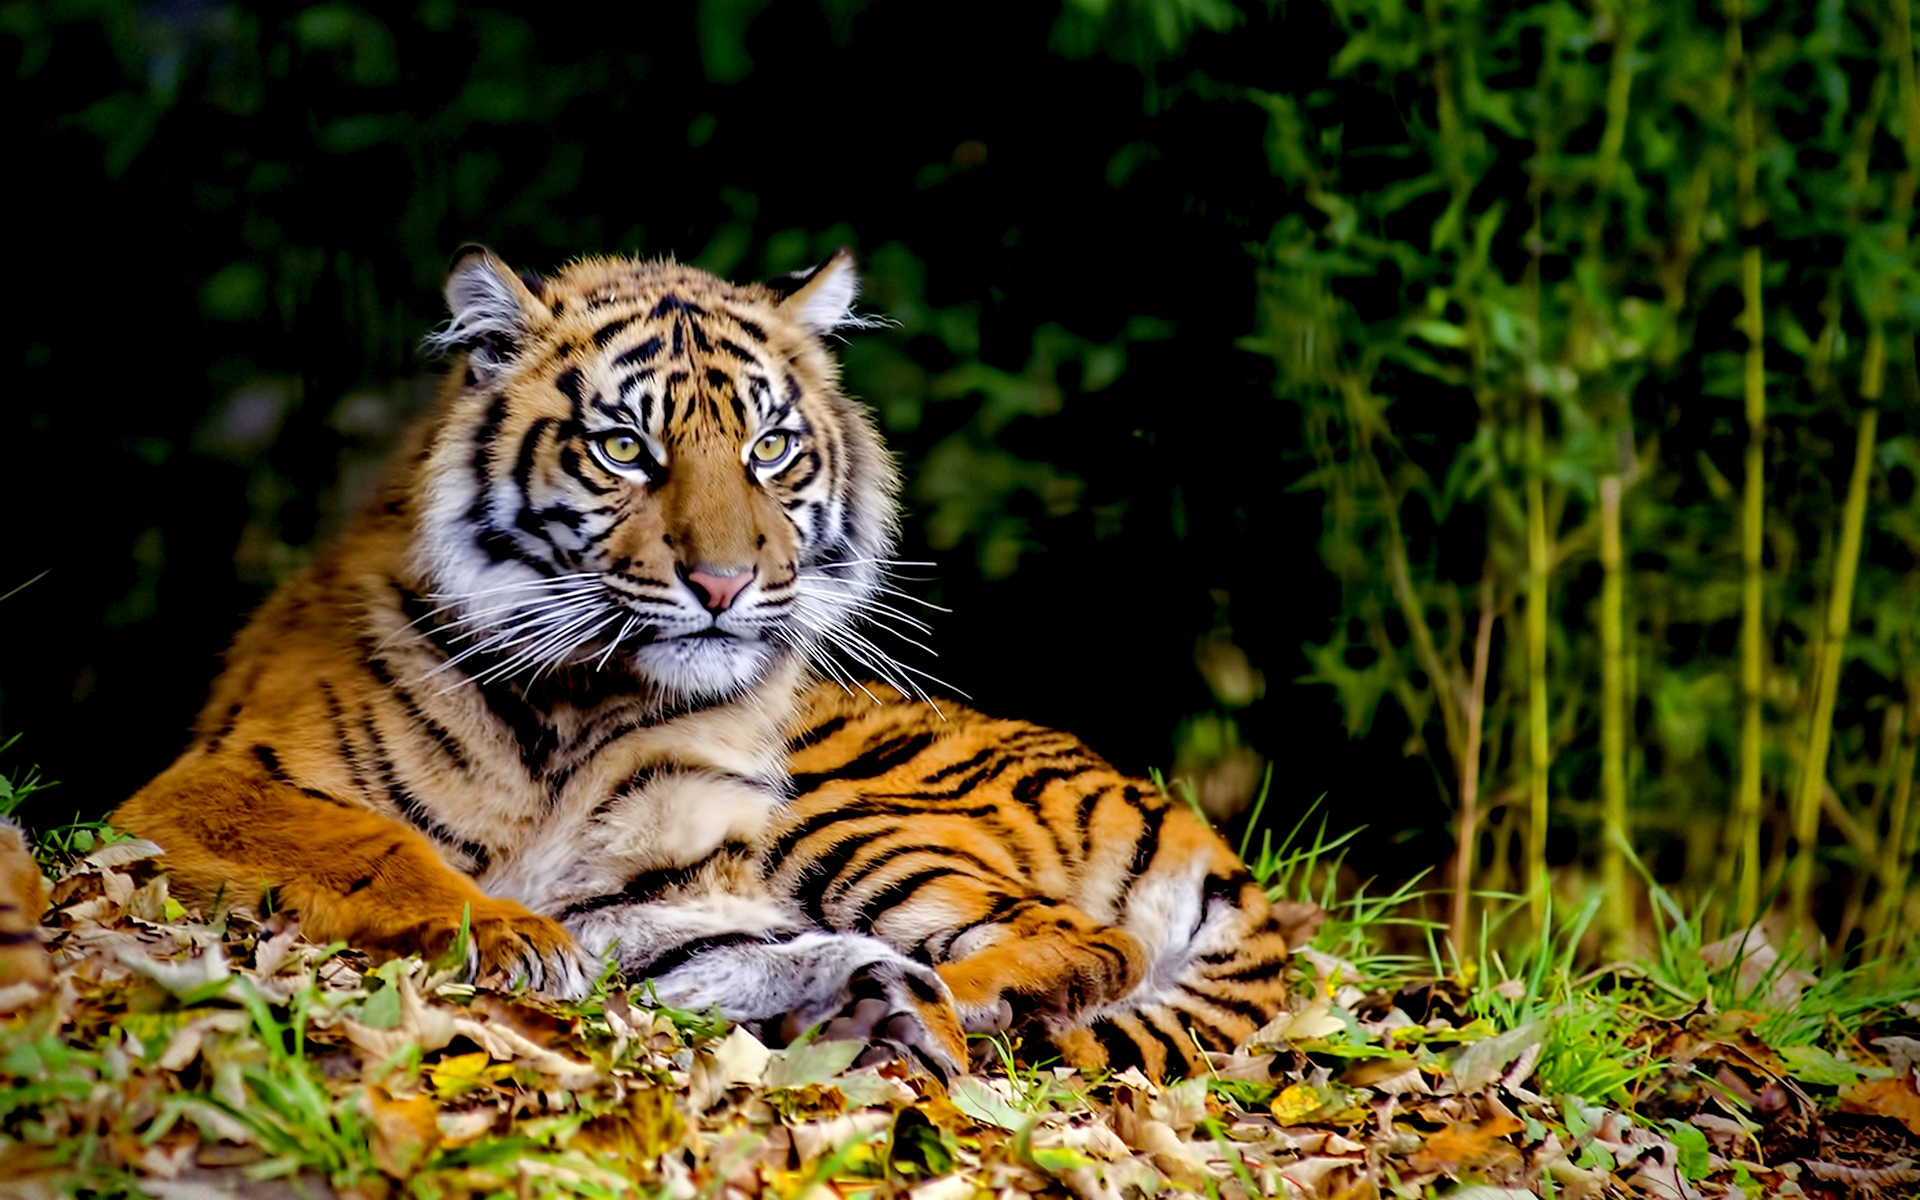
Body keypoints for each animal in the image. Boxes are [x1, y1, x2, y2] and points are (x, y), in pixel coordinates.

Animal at [116, 240, 1305, 1075]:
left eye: (768, 448)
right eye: (624, 449)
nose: (725, 583)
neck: (577, 706)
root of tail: (1181, 817)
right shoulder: (204, 788)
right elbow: (386, 847)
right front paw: (513, 938)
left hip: (844, 810)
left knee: (1087, 941)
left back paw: (957, 1000)